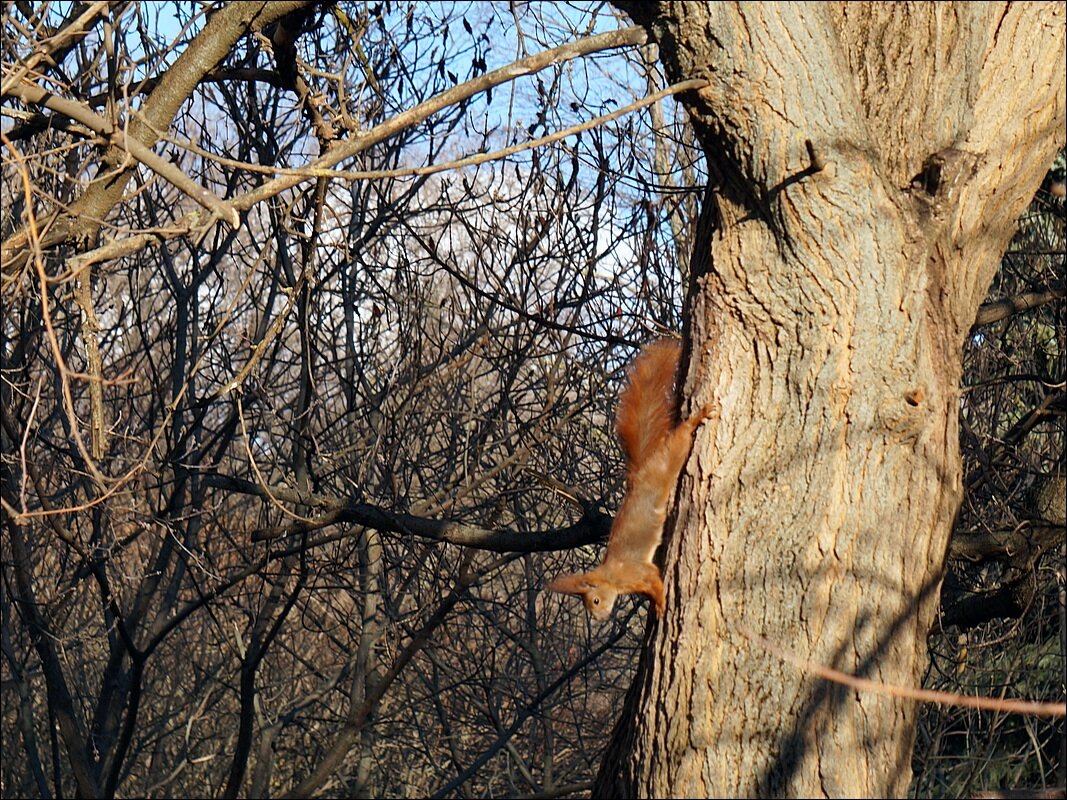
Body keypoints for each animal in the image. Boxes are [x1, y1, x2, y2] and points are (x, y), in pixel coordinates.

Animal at [546, 339, 712, 618]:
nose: (598, 618)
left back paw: (696, 419)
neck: (612, 577)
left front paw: (661, 604)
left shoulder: (639, 571)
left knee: (678, 441)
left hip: (665, 465)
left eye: (595, 601)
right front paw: (655, 603)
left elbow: (655, 581)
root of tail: (640, 474)